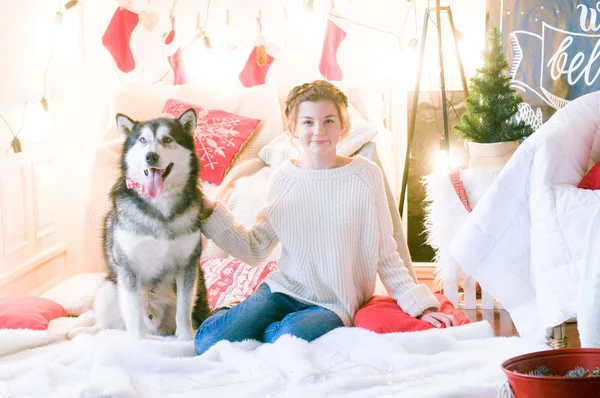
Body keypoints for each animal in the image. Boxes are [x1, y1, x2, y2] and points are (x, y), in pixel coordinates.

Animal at [70, 108, 210, 338]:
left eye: (167, 139)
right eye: (142, 140)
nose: (150, 156)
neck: (160, 207)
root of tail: (158, 330)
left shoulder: (188, 265)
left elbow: (183, 309)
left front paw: (186, 338)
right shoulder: (128, 267)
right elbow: (134, 311)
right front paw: (136, 340)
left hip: (198, 284)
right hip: (108, 290)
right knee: (103, 326)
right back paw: (82, 330)